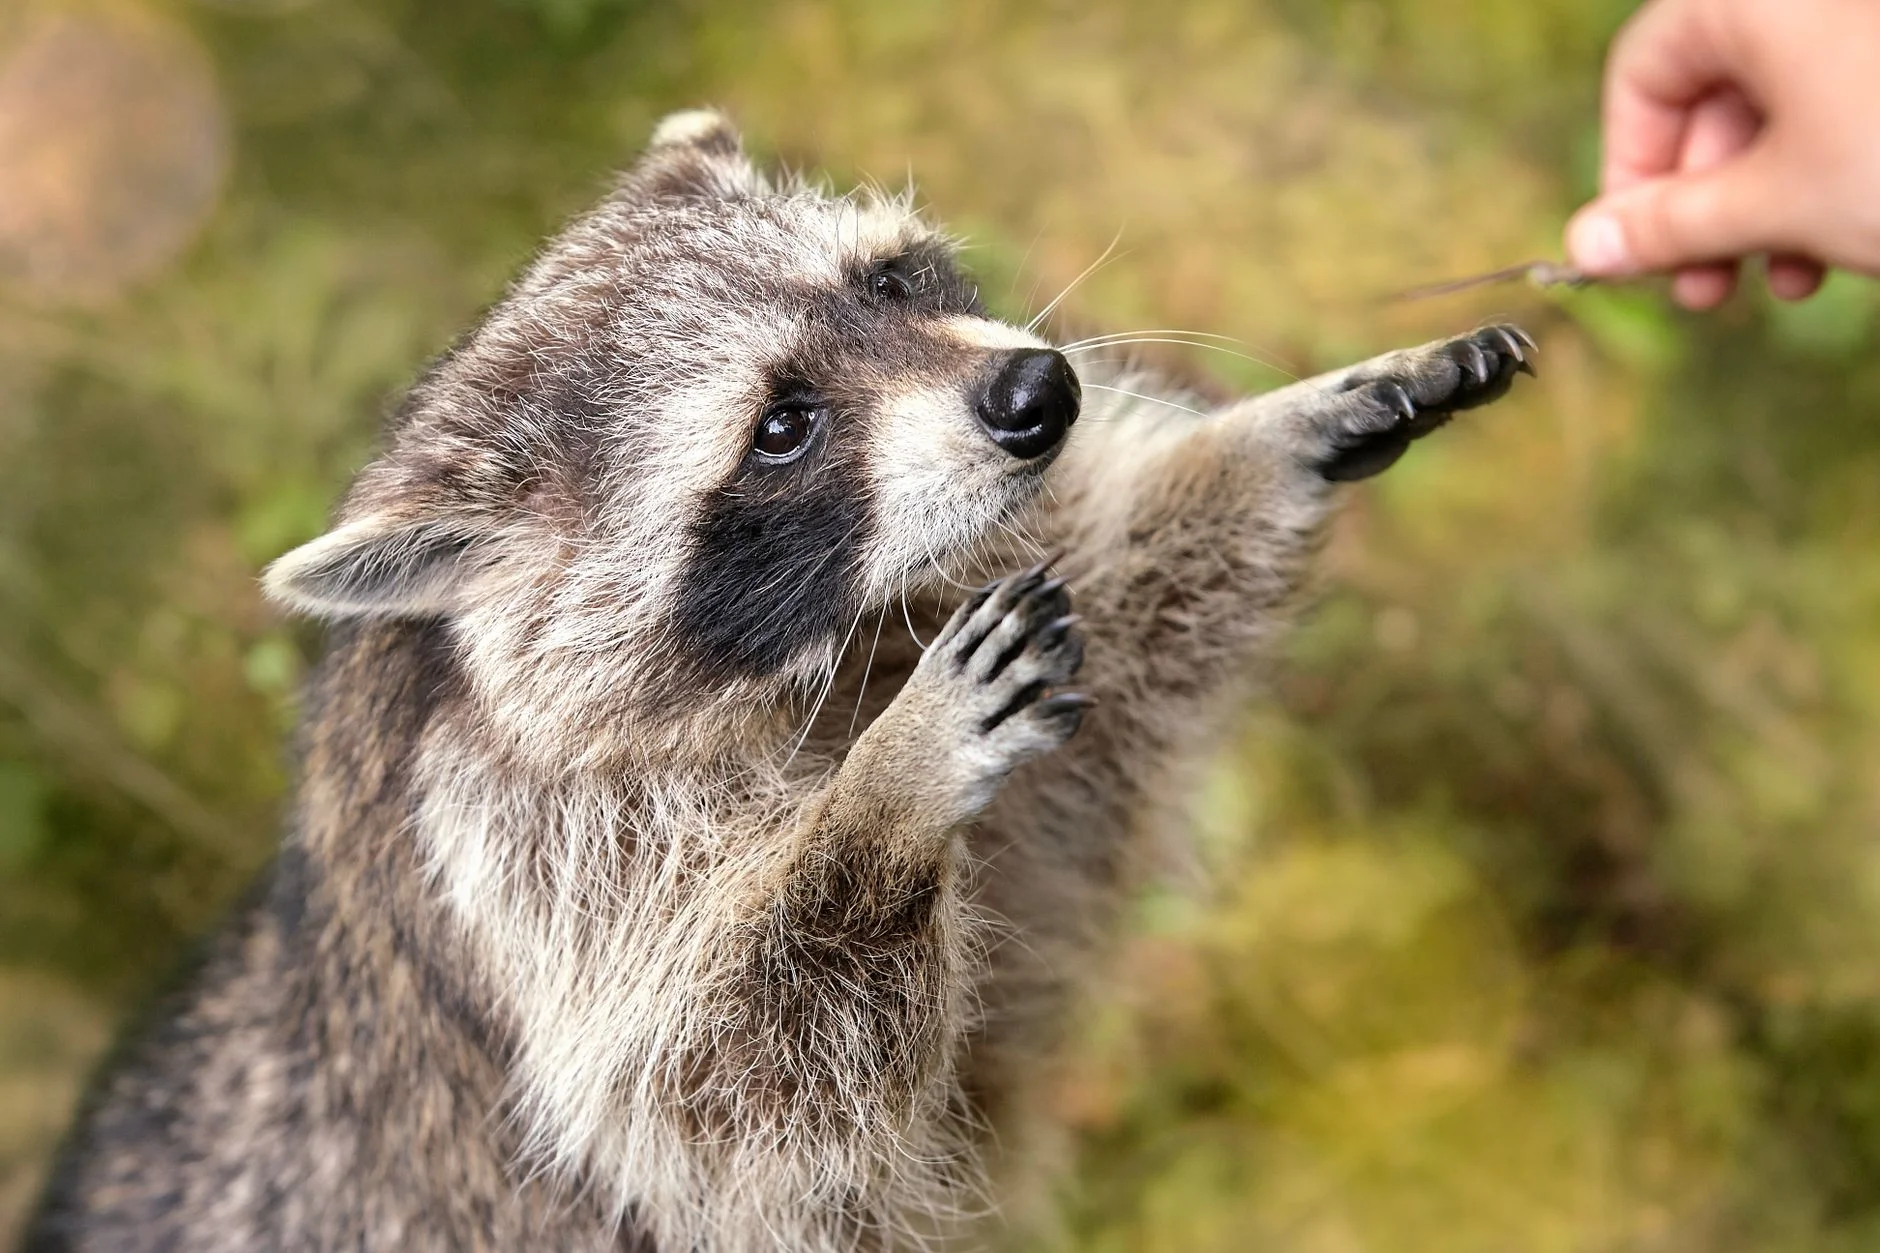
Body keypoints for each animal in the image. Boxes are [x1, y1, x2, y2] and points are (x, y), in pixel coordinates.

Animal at [24, 110, 1534, 1253]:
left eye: (888, 283)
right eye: (781, 426)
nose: (1039, 393)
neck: (832, 650)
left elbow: (1105, 694)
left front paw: (1265, 439)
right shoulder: (511, 845)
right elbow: (725, 1089)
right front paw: (884, 800)